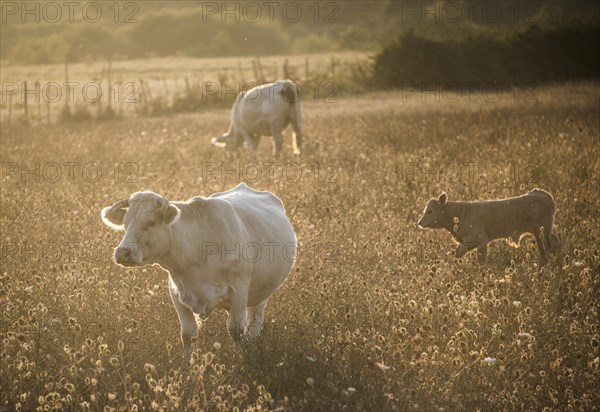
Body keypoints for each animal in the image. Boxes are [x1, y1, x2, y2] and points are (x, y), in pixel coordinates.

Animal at [102, 183, 296, 364]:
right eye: (125, 223)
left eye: (151, 222)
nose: (123, 252)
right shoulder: (177, 293)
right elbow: (188, 334)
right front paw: (186, 369)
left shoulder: (239, 292)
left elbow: (236, 331)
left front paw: (239, 363)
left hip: (260, 296)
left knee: (254, 327)